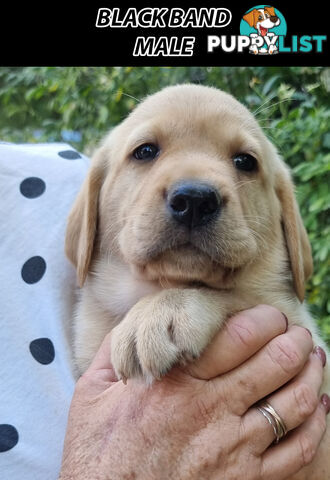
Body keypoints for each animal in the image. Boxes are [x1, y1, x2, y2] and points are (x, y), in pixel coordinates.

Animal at [65, 83, 330, 390]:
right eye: (145, 151)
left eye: (245, 161)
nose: (194, 200)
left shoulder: (301, 329)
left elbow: (237, 294)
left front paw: (158, 313)